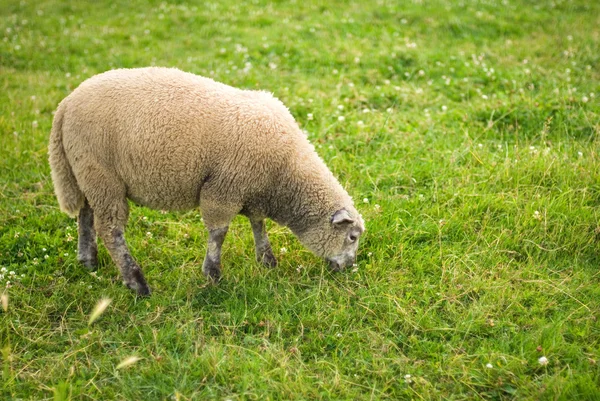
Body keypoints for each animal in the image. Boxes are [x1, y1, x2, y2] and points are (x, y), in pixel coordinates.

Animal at [48, 67, 366, 296]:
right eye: (352, 237)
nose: (350, 268)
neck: (285, 173)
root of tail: (65, 105)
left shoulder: (251, 190)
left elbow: (258, 224)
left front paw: (267, 261)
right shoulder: (223, 188)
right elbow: (219, 233)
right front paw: (213, 274)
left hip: (87, 174)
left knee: (85, 215)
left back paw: (88, 261)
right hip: (103, 175)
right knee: (110, 229)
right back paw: (136, 282)